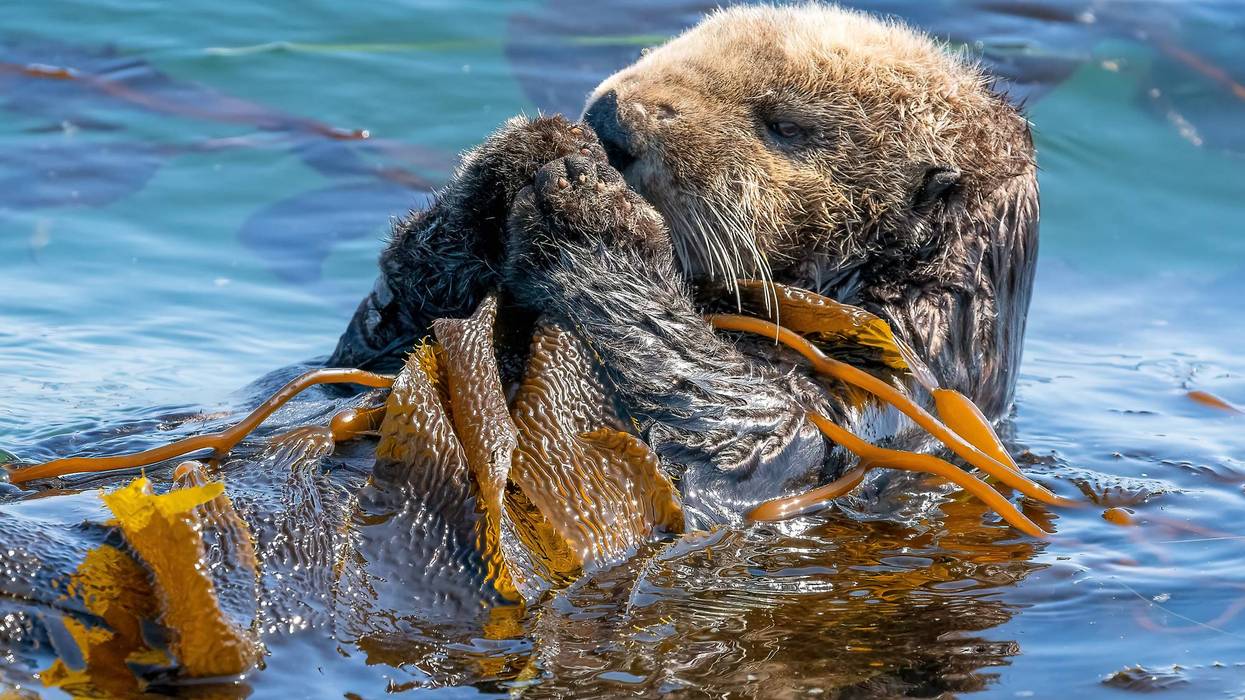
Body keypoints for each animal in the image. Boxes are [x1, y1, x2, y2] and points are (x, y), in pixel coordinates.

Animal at [329, 5, 1038, 527]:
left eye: (785, 125)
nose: (610, 120)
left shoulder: (884, 385)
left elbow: (745, 426)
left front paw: (594, 216)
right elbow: (372, 345)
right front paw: (526, 148)